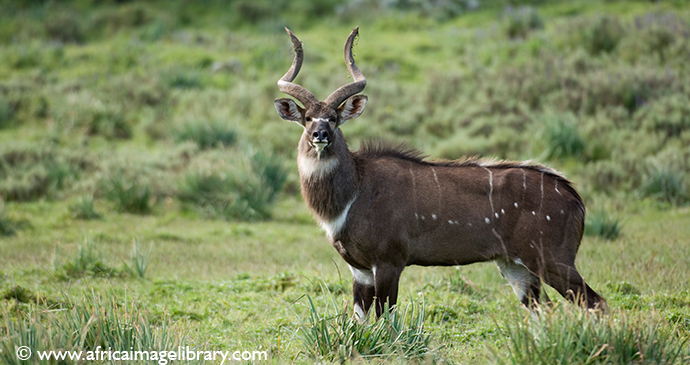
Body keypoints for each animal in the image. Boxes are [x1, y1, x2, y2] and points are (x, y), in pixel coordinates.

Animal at [272, 27, 604, 318]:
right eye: (308, 118)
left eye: (333, 118)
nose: (320, 135)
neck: (354, 191)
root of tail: (575, 198)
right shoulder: (361, 269)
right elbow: (360, 321)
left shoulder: (390, 261)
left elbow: (386, 320)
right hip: (515, 266)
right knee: (542, 311)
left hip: (553, 261)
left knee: (596, 303)